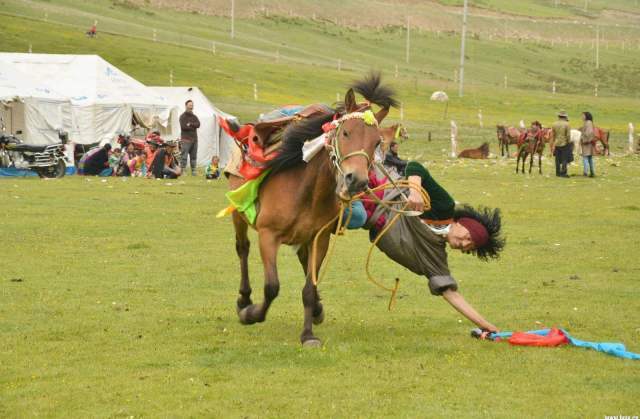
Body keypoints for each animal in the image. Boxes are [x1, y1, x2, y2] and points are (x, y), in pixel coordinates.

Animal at [225, 74, 396, 348]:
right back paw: (244, 300)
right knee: (242, 249)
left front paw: (308, 334)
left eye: (377, 142)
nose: (356, 180)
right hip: (238, 213)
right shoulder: (268, 236)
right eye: (345, 132)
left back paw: (316, 309)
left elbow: (308, 288)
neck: (306, 190)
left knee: (304, 263)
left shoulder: (320, 238)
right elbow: (272, 287)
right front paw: (251, 314)